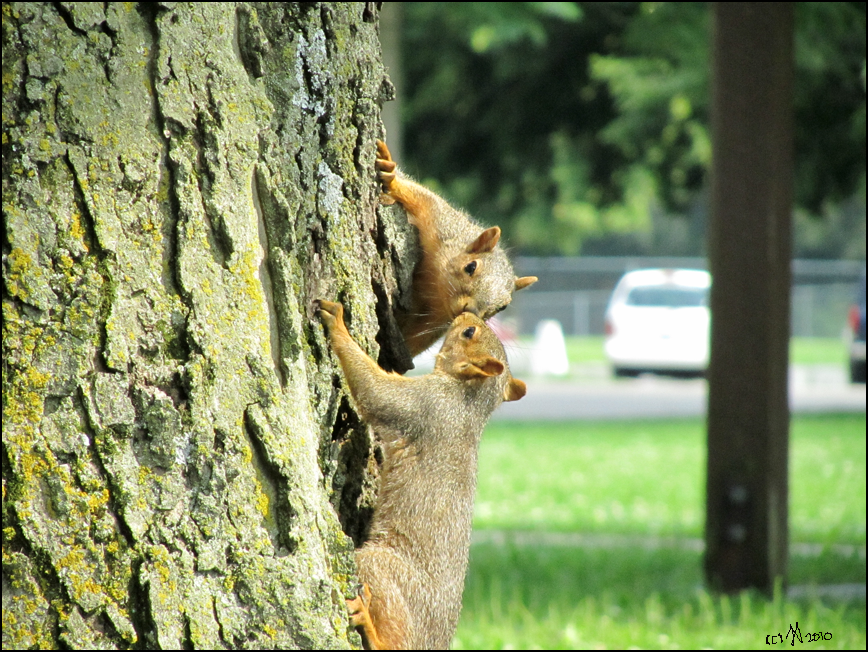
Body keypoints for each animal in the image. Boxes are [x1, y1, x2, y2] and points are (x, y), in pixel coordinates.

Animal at [318, 300, 524, 648]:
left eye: (469, 332)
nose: (469, 313)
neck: (467, 401)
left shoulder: (422, 405)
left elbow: (375, 392)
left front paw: (338, 324)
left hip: (380, 567)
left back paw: (367, 622)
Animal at [378, 141, 540, 360]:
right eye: (470, 267)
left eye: (503, 306)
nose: (471, 310)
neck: (436, 284)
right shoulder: (443, 223)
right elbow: (423, 199)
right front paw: (392, 176)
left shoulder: (435, 321)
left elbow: (414, 341)